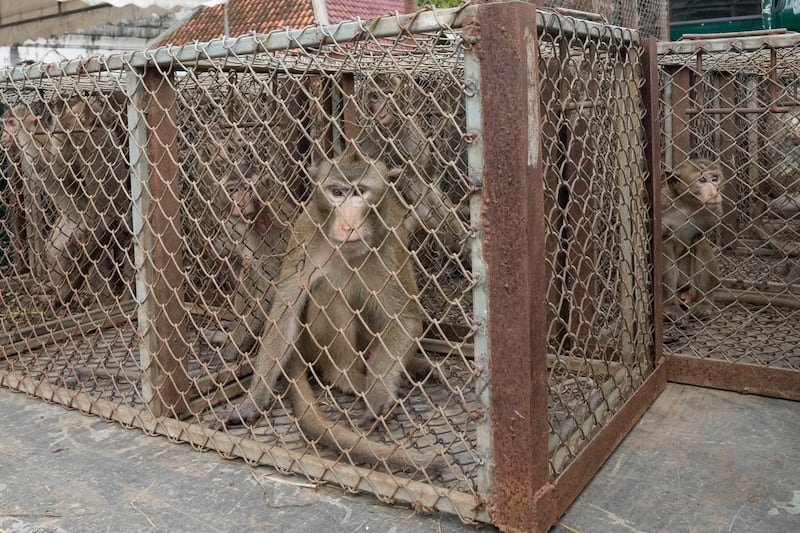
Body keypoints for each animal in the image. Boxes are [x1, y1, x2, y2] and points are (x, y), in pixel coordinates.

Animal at [214, 144, 444, 470]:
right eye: (337, 192)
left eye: (360, 192)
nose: (348, 222)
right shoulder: (304, 233)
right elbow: (283, 311)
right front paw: (251, 401)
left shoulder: (389, 234)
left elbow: (405, 316)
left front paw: (379, 392)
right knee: (325, 290)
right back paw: (344, 376)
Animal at [358, 75, 468, 258]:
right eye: (375, 96)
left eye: (389, 94)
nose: (381, 110)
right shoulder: (369, 139)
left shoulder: (412, 135)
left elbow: (419, 177)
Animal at [664, 158, 724, 322]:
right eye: (702, 180)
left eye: (714, 178)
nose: (714, 193)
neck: (686, 204)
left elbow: (700, 236)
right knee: (667, 246)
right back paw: (670, 306)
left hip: (690, 286)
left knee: (700, 243)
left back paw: (704, 303)